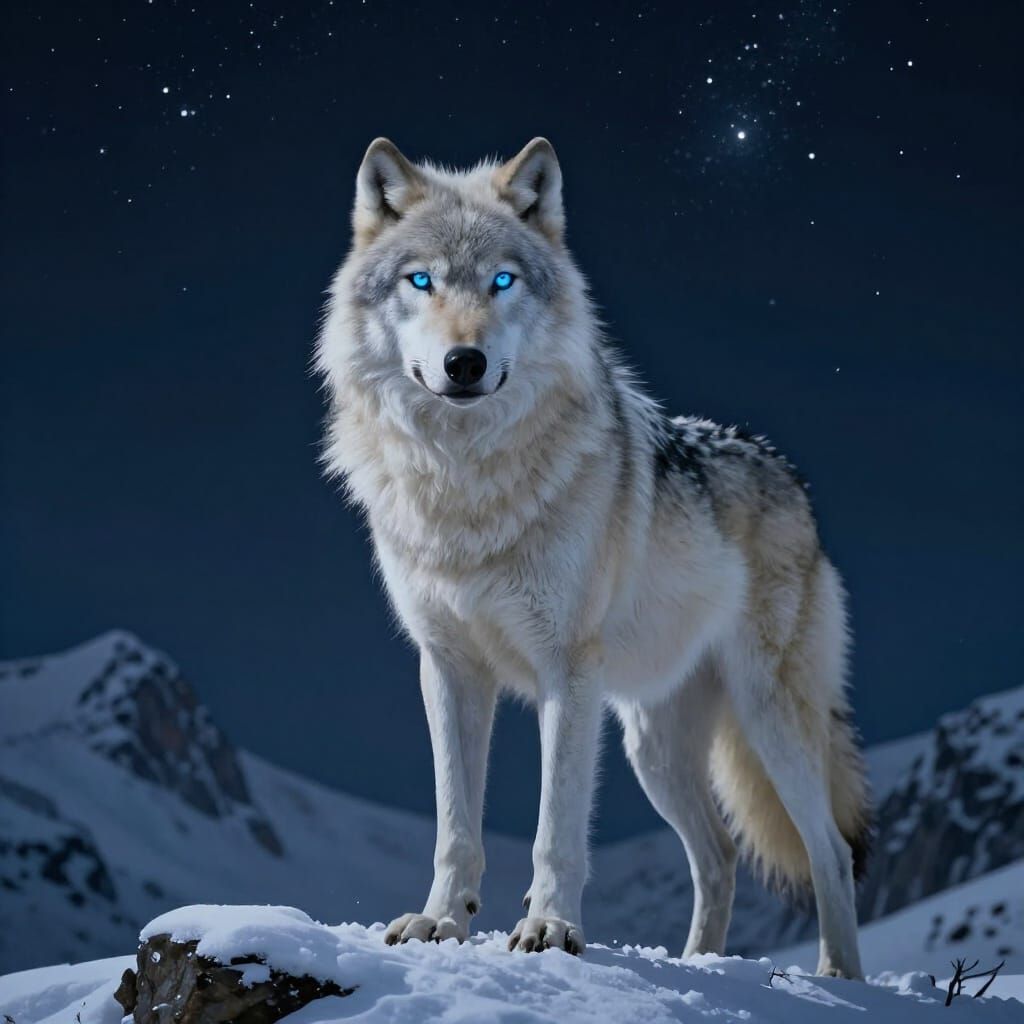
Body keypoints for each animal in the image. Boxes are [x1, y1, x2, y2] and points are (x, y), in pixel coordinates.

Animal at [315, 137, 871, 978]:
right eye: (421, 281)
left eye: (502, 280)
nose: (464, 362)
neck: (467, 486)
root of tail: (787, 472)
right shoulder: (446, 666)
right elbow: (454, 824)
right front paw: (440, 922)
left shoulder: (566, 672)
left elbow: (556, 828)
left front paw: (548, 931)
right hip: (653, 746)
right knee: (719, 856)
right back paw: (698, 964)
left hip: (767, 717)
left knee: (829, 851)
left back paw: (839, 977)